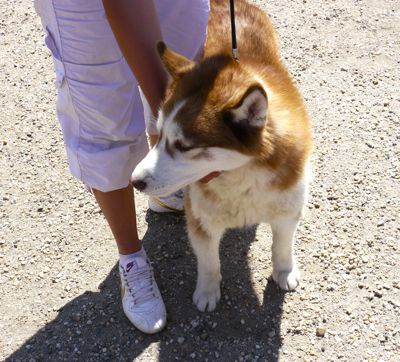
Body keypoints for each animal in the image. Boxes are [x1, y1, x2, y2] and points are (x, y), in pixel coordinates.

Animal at [131, 0, 312, 312]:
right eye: (160, 135)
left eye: (184, 146)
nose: (135, 181)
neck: (242, 175)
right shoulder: (200, 219)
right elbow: (208, 262)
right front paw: (207, 291)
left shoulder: (288, 207)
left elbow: (282, 245)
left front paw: (284, 270)